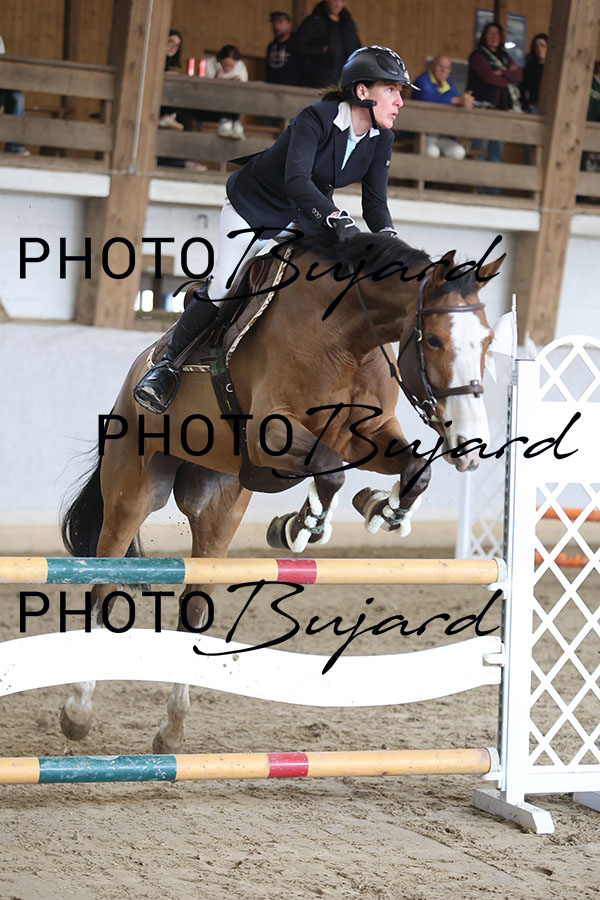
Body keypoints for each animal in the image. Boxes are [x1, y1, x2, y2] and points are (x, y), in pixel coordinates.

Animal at [60, 230, 504, 752]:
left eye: (488, 340)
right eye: (434, 339)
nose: (470, 445)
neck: (348, 339)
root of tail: (137, 368)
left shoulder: (367, 436)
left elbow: (413, 469)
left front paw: (381, 510)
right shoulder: (270, 435)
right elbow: (330, 472)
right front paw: (303, 526)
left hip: (219, 505)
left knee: (196, 604)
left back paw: (171, 731)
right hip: (133, 492)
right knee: (103, 584)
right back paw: (77, 711)